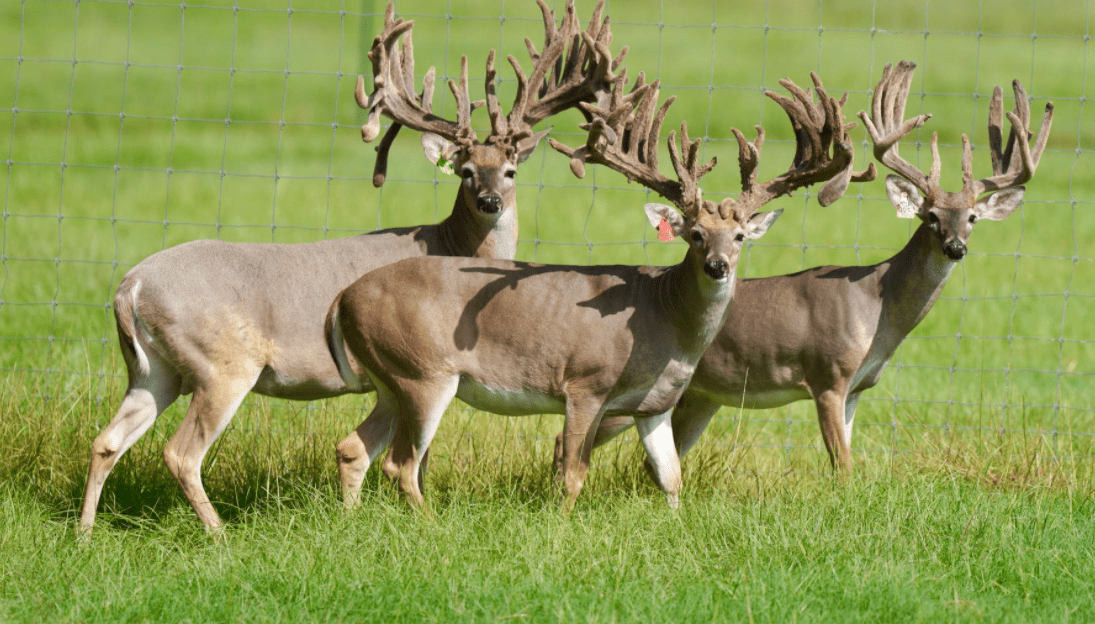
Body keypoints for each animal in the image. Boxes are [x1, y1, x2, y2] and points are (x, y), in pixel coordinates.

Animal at [78, 0, 627, 533]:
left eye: (511, 170)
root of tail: (130, 286)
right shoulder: (424, 367)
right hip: (221, 364)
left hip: (154, 368)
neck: (452, 246)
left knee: (107, 441)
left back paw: (85, 533)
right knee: (181, 453)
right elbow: (416, 460)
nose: (490, 200)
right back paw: (219, 534)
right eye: (466, 170)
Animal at [325, 69, 867, 511]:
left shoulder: (654, 405)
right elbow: (573, 474)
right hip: (425, 372)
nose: (717, 267)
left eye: (738, 236)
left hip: (391, 379)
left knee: (353, 449)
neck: (663, 319)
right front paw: (560, 527)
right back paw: (432, 524)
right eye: (694, 234)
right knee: (401, 464)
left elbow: (671, 477)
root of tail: (343, 298)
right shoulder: (585, 382)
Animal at [566, 60, 1054, 477]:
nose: (955, 247)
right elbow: (843, 467)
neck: (877, 308)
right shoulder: (829, 376)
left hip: (700, 398)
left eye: (972, 218)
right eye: (930, 216)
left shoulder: (857, 387)